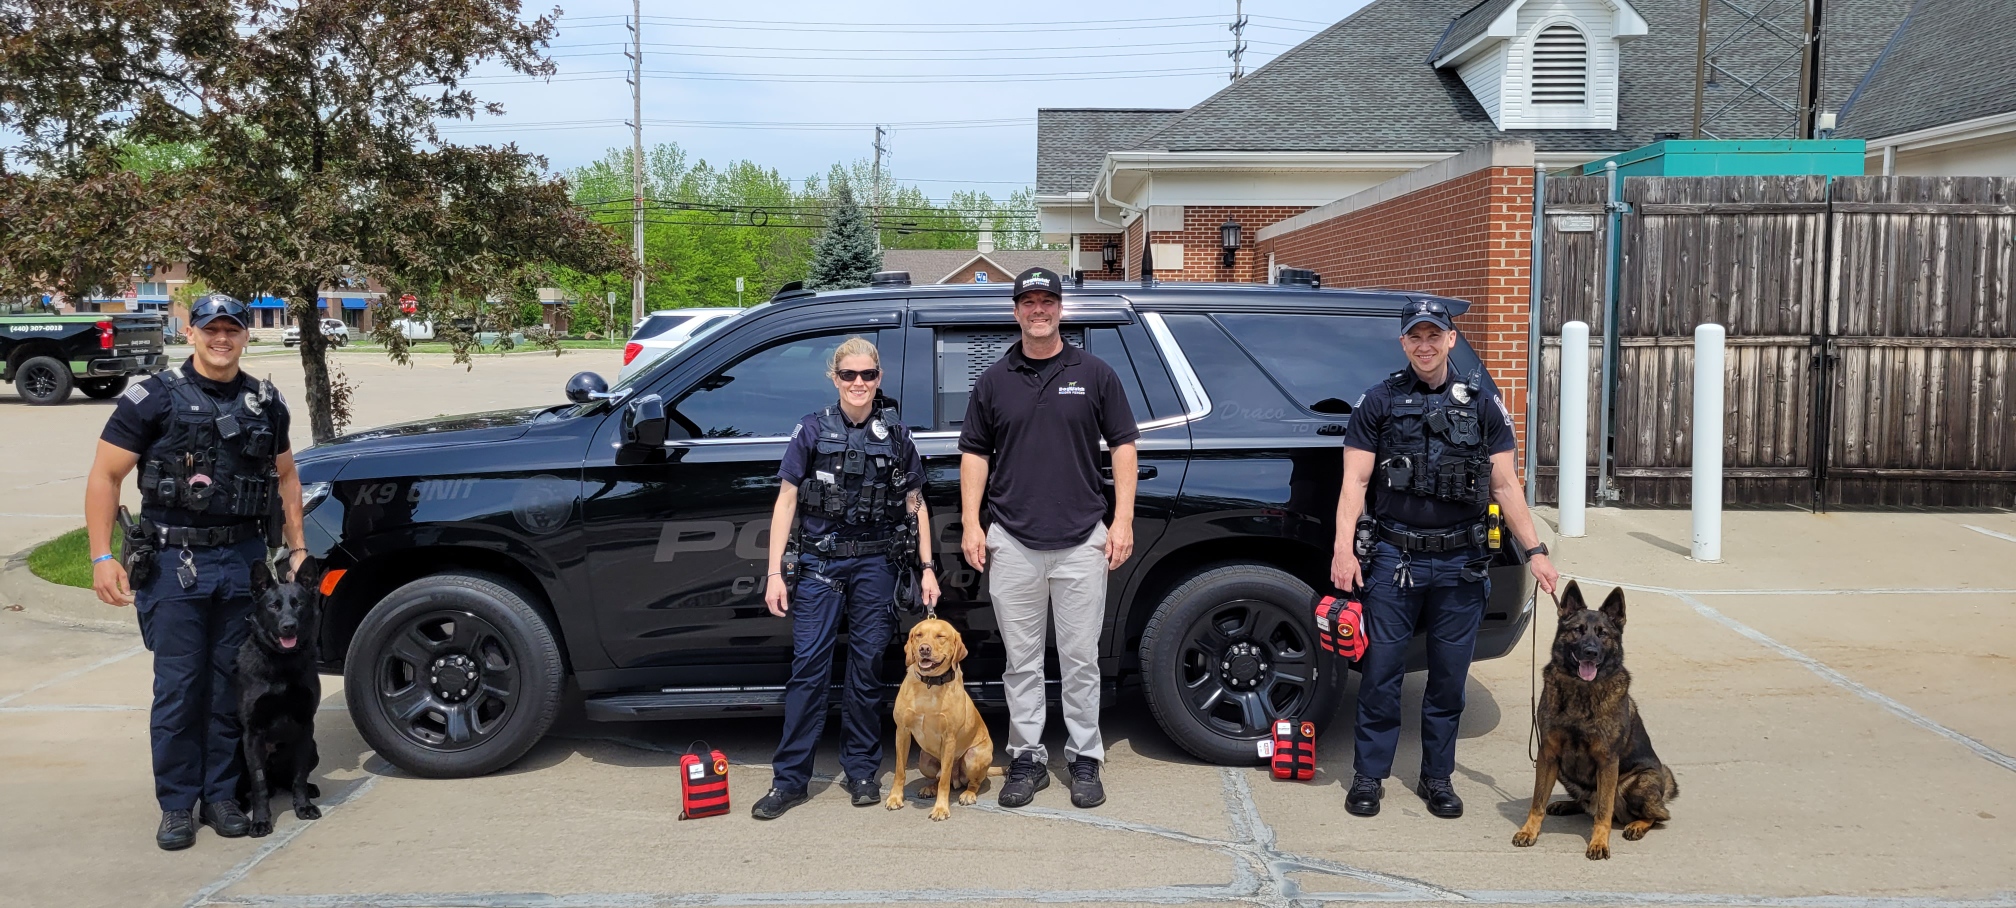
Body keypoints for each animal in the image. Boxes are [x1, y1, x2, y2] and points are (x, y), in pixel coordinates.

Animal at [237, 552, 324, 835]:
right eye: (273, 606)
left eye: (299, 604)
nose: (289, 626)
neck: (281, 664)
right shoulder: (252, 734)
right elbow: (259, 784)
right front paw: (261, 820)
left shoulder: (306, 727)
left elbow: (299, 776)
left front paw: (303, 806)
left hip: (314, 749)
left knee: (290, 779)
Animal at [891, 617, 999, 823]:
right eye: (919, 635)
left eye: (940, 636)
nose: (924, 649)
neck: (930, 684)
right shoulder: (902, 731)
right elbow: (900, 770)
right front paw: (894, 797)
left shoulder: (949, 738)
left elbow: (944, 781)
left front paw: (941, 808)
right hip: (924, 760)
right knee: (939, 777)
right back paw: (929, 788)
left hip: (974, 756)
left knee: (970, 782)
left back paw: (968, 794)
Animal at [1516, 581, 1685, 859]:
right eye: (1578, 630)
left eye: (1602, 633)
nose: (1590, 652)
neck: (1581, 691)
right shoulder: (1548, 755)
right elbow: (1538, 800)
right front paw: (1529, 830)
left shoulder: (1607, 761)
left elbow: (1604, 812)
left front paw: (1599, 842)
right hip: (1565, 772)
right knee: (1586, 804)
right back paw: (1566, 804)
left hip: (1636, 782)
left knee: (1658, 816)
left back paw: (1636, 825)